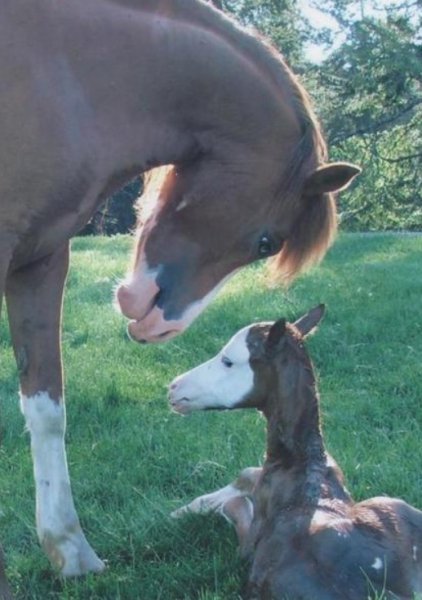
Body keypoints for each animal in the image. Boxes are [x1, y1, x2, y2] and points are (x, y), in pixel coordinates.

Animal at [0, 0, 360, 580]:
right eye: (266, 240)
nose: (158, 324)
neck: (68, 73)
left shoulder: (40, 259)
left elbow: (47, 408)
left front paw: (69, 548)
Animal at [168, 308, 422, 596]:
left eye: (228, 361)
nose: (174, 387)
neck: (303, 462)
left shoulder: (247, 548)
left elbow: (237, 500)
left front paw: (182, 511)